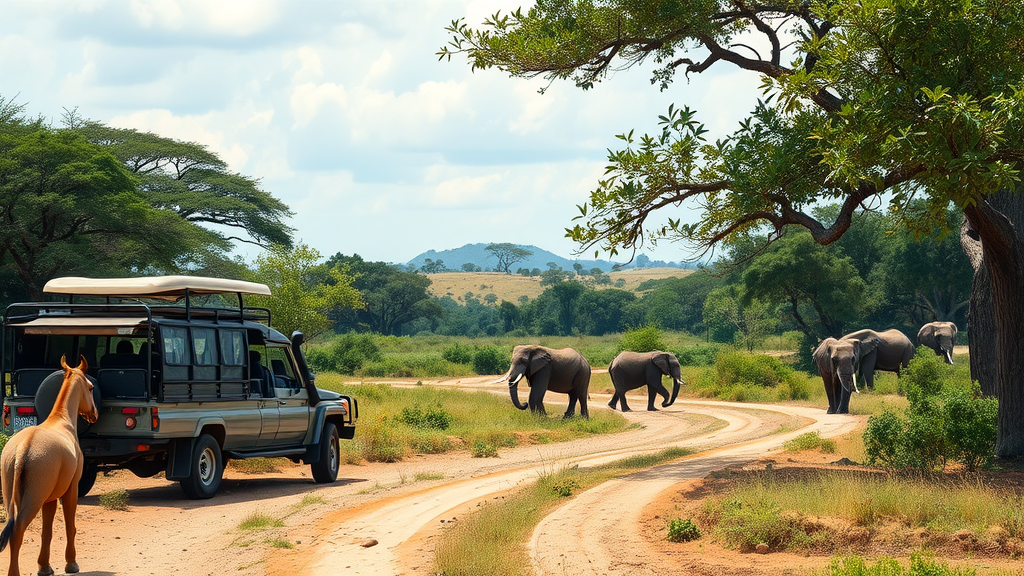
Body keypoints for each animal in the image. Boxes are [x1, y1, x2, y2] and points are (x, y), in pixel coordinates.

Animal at [0, 354, 98, 573]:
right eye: (90, 388)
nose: (94, 414)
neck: (62, 421)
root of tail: (23, 449)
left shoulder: (50, 499)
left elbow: (47, 531)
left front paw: (44, 566)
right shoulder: (71, 489)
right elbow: (70, 526)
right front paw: (71, 563)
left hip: (12, 496)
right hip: (34, 499)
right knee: (17, 530)